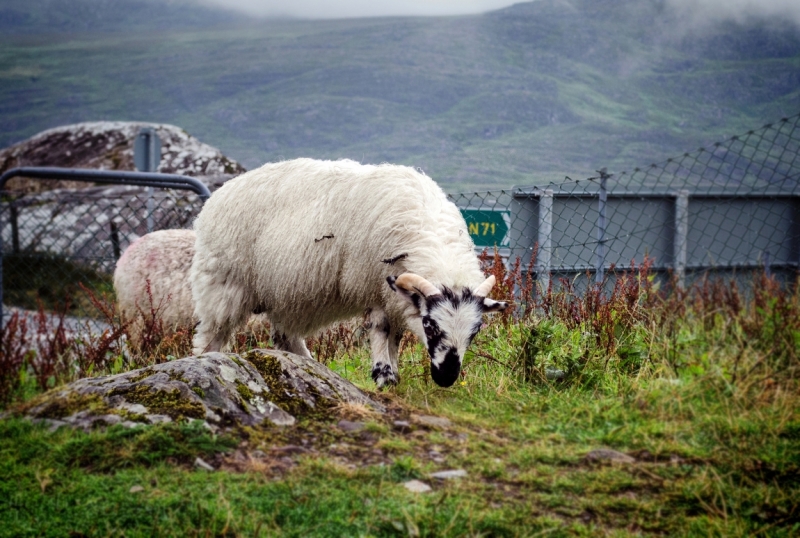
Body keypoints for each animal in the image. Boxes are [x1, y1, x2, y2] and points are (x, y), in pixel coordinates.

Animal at [191, 156, 510, 386]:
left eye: (476, 330)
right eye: (430, 325)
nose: (446, 378)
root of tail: (220, 193)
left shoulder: (394, 295)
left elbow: (395, 335)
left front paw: (393, 369)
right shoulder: (373, 285)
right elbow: (381, 328)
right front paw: (384, 375)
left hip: (286, 295)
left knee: (284, 337)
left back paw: (309, 366)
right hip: (224, 283)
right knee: (211, 336)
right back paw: (206, 362)